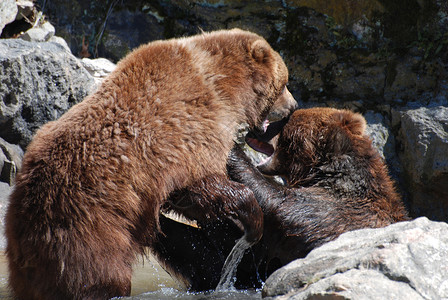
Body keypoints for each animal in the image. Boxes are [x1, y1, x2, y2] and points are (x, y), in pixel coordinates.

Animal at [5, 28, 298, 300]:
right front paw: (252, 220)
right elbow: (202, 182)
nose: (293, 105)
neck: (226, 86)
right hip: (87, 224)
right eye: (284, 82)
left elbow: (186, 196)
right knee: (100, 276)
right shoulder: (191, 124)